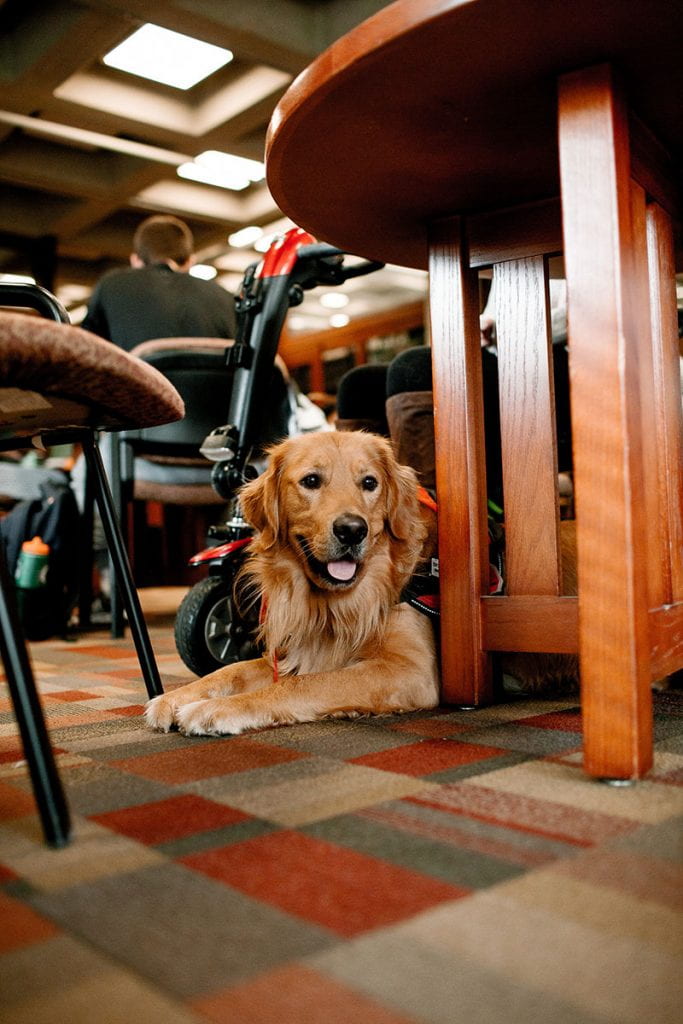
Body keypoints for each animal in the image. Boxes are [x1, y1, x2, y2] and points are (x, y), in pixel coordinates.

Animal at [147, 428, 440, 733]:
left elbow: (298, 684)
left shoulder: (410, 668)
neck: (336, 604)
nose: (352, 530)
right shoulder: (287, 652)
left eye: (370, 483)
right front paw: (174, 697)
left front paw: (213, 708)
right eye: (311, 481)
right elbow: (229, 671)